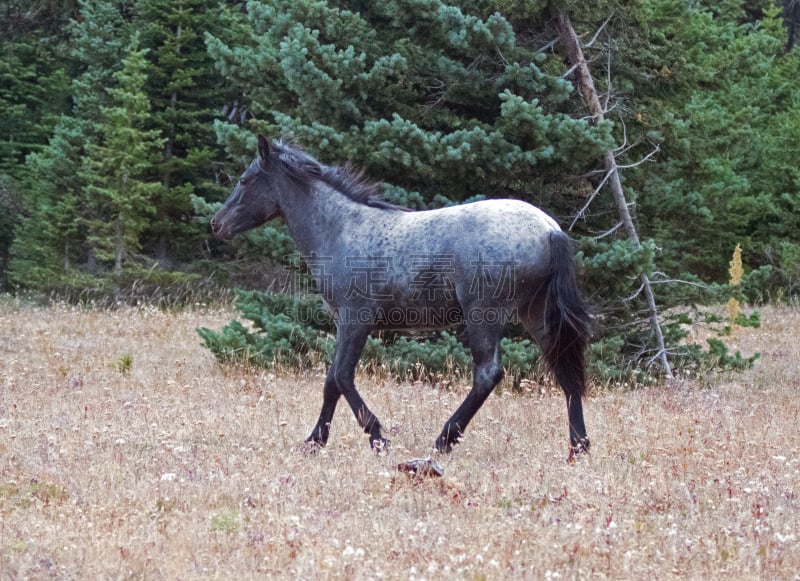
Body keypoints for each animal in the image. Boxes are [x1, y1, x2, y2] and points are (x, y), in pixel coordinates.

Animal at [212, 135, 592, 462]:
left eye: (245, 179)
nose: (217, 224)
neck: (342, 230)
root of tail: (550, 230)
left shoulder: (355, 319)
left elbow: (341, 376)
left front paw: (376, 437)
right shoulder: (347, 323)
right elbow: (331, 382)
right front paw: (314, 441)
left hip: (484, 314)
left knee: (488, 374)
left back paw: (443, 441)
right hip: (535, 313)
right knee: (566, 372)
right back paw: (578, 449)